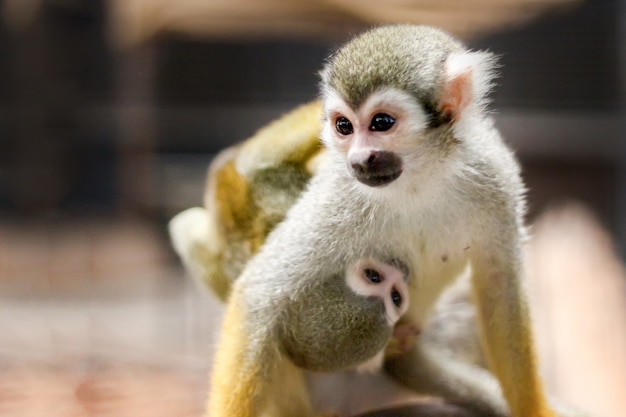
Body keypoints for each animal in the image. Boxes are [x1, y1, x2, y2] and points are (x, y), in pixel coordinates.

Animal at [174, 24, 584, 416]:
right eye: (344, 126)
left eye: (381, 123)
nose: (359, 159)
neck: (420, 176)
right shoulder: (340, 192)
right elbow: (259, 295)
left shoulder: (494, 176)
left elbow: (500, 286)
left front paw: (534, 410)